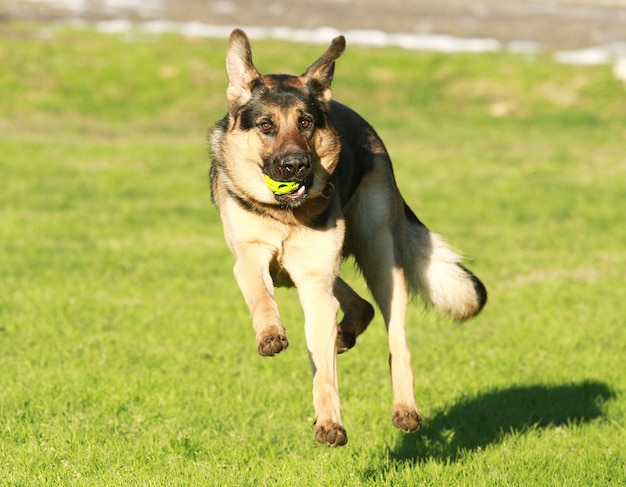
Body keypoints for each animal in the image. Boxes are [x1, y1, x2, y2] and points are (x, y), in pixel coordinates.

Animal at [207, 29, 486, 450]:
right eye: (266, 126)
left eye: (306, 122)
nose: (295, 165)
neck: (286, 214)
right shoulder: (252, 258)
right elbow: (260, 296)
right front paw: (271, 334)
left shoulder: (315, 284)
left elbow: (324, 370)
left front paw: (329, 423)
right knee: (359, 306)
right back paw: (345, 332)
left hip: (380, 258)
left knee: (395, 337)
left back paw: (404, 408)